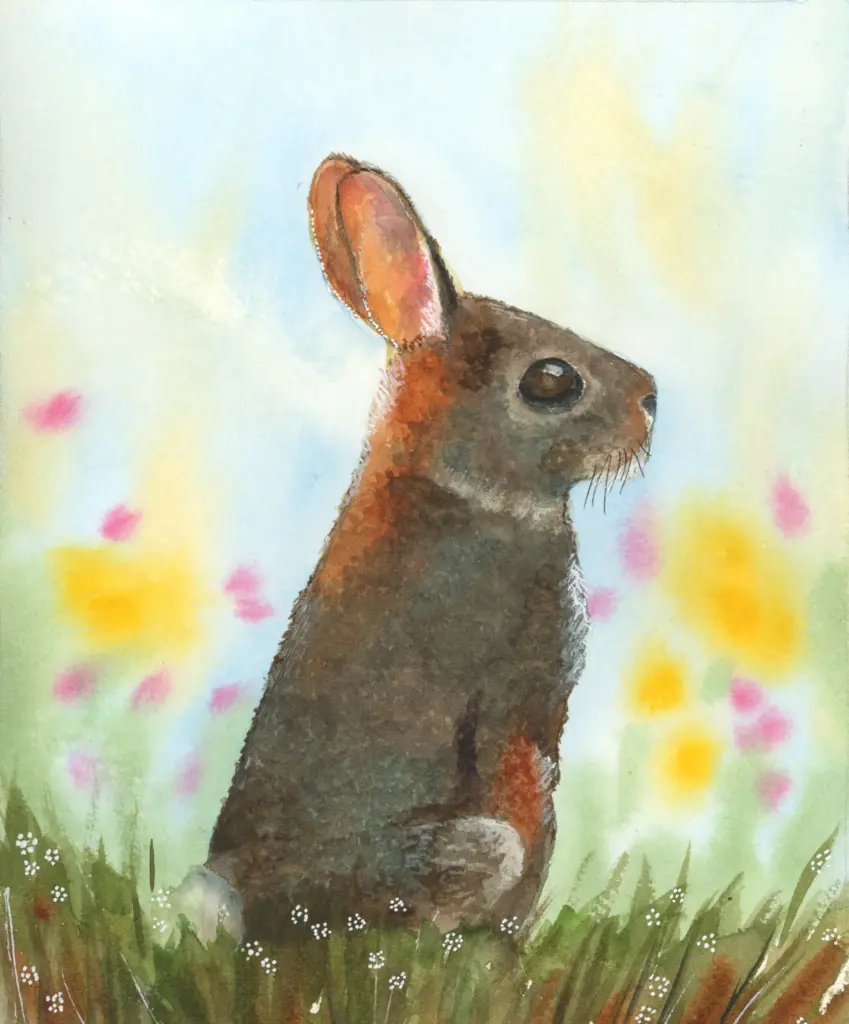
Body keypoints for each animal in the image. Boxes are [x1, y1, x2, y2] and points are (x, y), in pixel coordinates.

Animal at [202, 154, 656, 942]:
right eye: (551, 380)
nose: (652, 398)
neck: (456, 483)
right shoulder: (522, 699)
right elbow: (529, 802)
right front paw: (512, 941)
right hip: (457, 851)